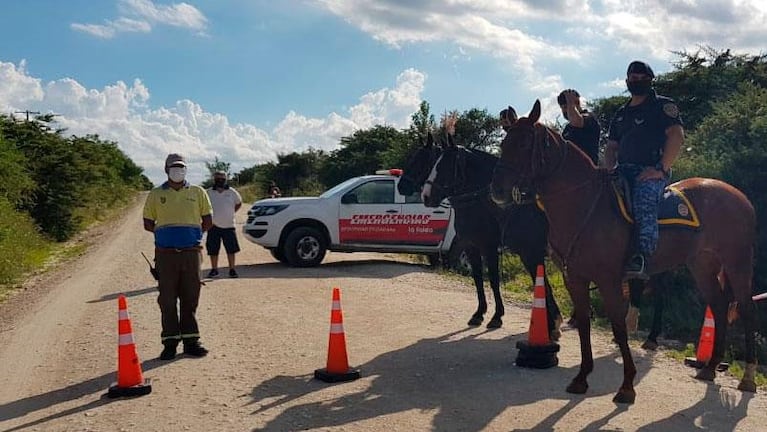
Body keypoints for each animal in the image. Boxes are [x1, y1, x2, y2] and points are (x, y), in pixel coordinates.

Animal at [492, 99, 760, 404]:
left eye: (525, 143)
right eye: (504, 143)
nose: (496, 189)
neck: (584, 205)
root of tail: (739, 196)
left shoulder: (608, 280)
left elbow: (619, 329)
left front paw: (627, 386)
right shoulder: (576, 279)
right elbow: (584, 325)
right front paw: (581, 378)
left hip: (737, 262)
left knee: (746, 309)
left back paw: (748, 378)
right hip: (702, 265)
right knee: (719, 304)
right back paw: (711, 367)